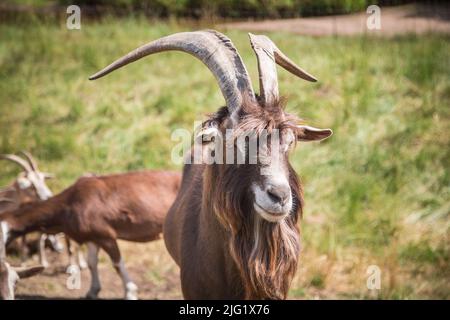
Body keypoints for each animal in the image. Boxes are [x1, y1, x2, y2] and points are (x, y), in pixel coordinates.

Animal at [2, 171, 181, 298]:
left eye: (3, 235)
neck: (70, 202)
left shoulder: (105, 235)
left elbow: (117, 263)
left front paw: (130, 292)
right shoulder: (92, 237)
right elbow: (91, 263)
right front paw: (93, 291)